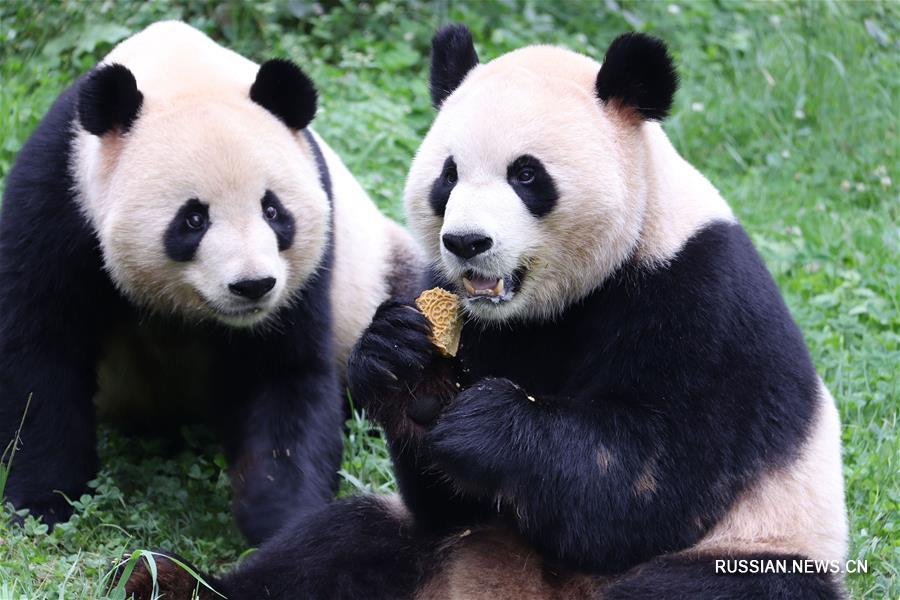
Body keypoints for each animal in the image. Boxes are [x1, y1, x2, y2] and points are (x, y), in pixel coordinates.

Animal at [0, 19, 422, 544]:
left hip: (379, 267)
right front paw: (44, 505)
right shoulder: (58, 195)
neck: (183, 73)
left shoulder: (312, 256)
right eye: (193, 219)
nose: (253, 285)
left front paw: (284, 521)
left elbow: (282, 371)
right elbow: (40, 351)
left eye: (273, 210)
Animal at [123, 24, 848, 600]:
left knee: (702, 587)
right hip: (443, 550)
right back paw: (165, 580)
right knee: (344, 542)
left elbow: (652, 482)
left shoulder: (699, 297)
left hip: (756, 551)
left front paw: (492, 426)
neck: (560, 299)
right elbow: (444, 496)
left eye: (527, 175)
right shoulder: (457, 300)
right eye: (447, 176)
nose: (467, 241)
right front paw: (402, 363)